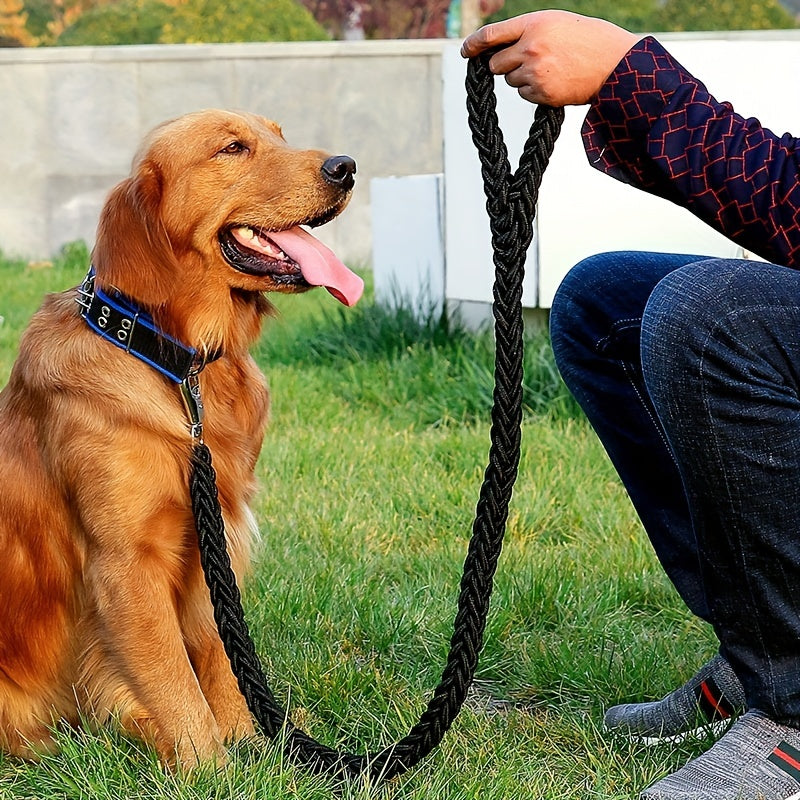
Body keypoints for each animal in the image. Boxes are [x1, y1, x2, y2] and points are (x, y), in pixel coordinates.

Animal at [0, 108, 362, 768]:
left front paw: (253, 746)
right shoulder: (127, 561)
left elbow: (222, 656)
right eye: (232, 148)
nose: (345, 166)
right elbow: (175, 680)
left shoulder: (217, 537)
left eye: (279, 135)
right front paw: (213, 769)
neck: (179, 365)